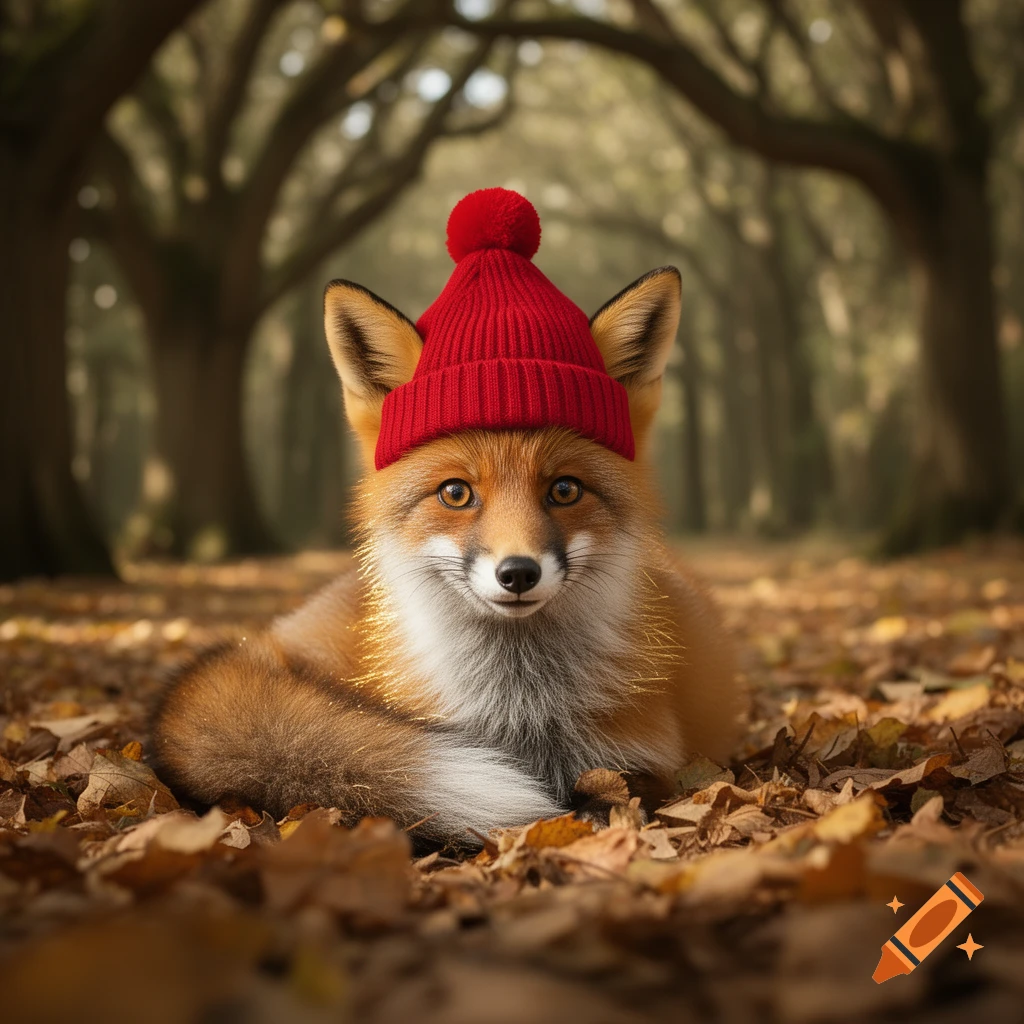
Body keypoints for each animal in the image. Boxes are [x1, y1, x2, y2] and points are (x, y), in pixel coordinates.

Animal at [150, 199, 739, 847]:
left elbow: (630, 787)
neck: (522, 716)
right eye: (456, 493)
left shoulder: (651, 755)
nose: (517, 573)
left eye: (564, 489)